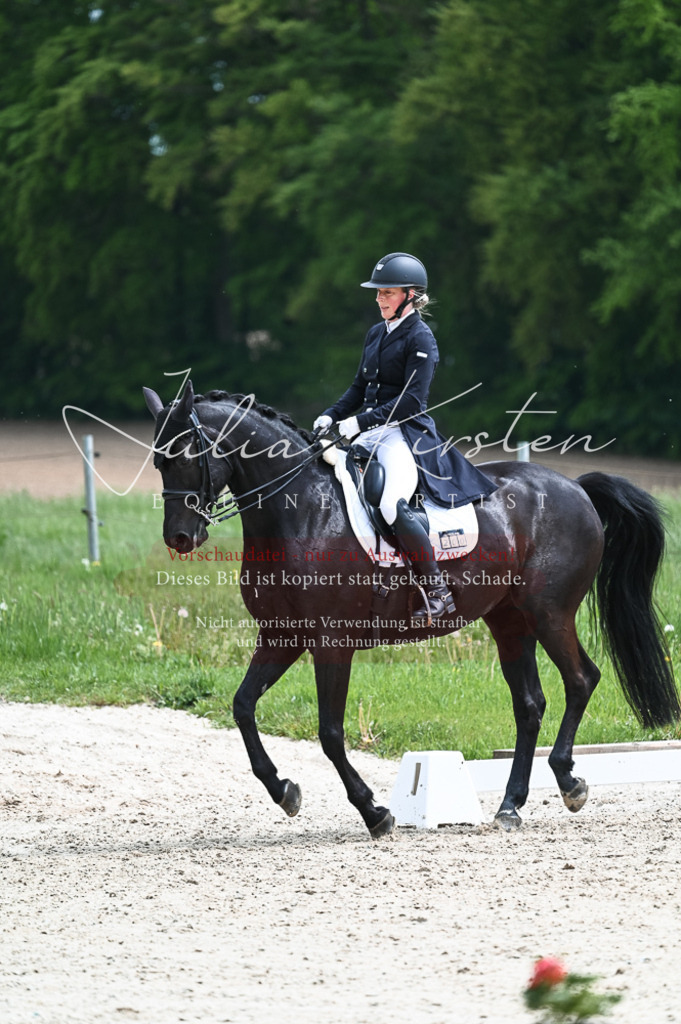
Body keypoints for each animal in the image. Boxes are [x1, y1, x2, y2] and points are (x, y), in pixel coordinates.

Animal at [143, 381, 680, 836]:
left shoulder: (332, 644)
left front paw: (375, 812)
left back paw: (568, 782)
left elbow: (330, 733)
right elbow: (242, 707)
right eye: (158, 463)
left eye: (186, 454)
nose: (179, 538)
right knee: (530, 705)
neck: (301, 513)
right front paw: (285, 792)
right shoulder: (282, 637)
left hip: (549, 613)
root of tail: (575, 487)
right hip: (509, 621)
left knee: (581, 680)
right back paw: (510, 806)